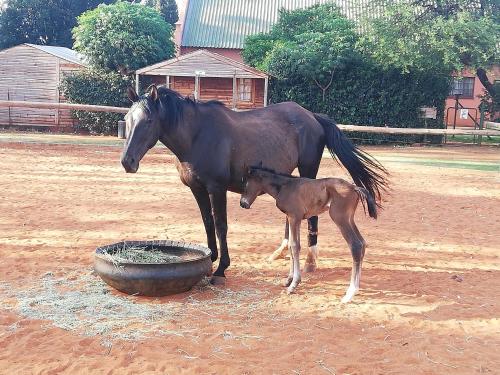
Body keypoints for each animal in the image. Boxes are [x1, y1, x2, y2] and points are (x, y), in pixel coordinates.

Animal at [120, 85, 386, 284]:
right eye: (127, 119)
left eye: (149, 120)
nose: (127, 162)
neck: (197, 136)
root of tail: (313, 116)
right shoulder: (197, 189)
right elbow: (207, 223)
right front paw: (210, 259)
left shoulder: (216, 188)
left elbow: (221, 225)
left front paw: (221, 268)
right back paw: (282, 250)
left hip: (309, 171)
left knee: (313, 215)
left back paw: (310, 261)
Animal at [240, 167, 376, 302]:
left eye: (245, 183)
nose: (243, 203)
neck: (284, 186)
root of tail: (355, 187)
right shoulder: (291, 217)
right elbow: (291, 246)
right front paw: (289, 280)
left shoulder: (295, 217)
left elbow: (295, 246)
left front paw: (294, 285)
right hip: (349, 219)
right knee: (362, 243)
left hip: (339, 218)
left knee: (356, 245)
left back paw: (350, 293)